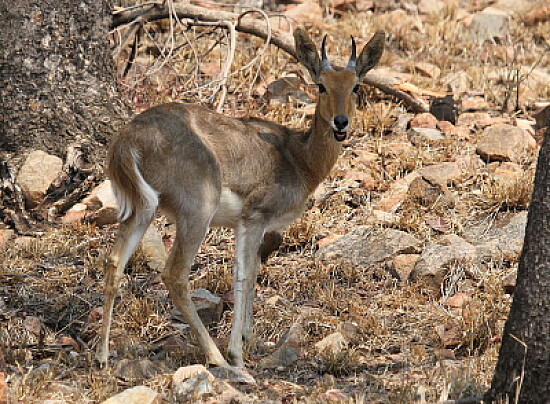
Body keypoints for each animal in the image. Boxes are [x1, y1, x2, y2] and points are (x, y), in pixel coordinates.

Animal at [98, 27, 384, 376]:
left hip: (142, 210)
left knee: (114, 262)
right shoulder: (255, 217)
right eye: (321, 85)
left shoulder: (244, 225)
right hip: (196, 212)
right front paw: (237, 352)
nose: (340, 122)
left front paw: (250, 337)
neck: (298, 158)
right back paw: (220, 360)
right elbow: (244, 274)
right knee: (175, 274)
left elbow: (253, 269)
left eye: (355, 85)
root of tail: (128, 141)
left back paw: (101, 357)